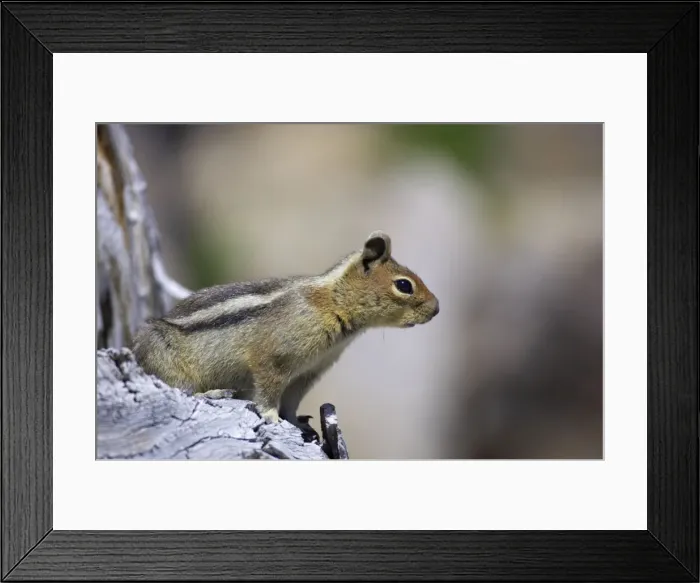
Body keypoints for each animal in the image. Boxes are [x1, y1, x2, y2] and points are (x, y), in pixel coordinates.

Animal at [132, 230, 440, 443]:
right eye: (404, 285)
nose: (437, 309)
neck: (332, 302)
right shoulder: (273, 359)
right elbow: (268, 391)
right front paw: (271, 416)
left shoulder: (308, 372)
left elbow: (292, 400)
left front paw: (296, 422)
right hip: (160, 353)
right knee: (178, 386)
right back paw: (212, 391)